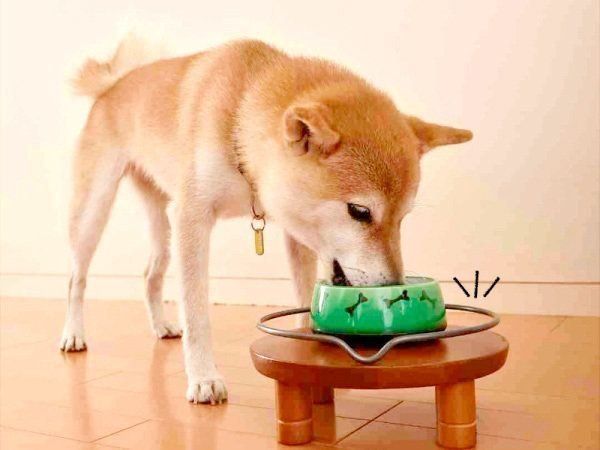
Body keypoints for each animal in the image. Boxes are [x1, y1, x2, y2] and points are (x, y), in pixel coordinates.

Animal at [61, 36, 472, 405]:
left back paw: (160, 325)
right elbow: (196, 313)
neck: (240, 117)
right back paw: (73, 334)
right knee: (76, 280)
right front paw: (203, 378)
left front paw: (315, 355)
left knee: (151, 274)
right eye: (360, 212)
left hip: (163, 222)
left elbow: (305, 296)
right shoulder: (193, 219)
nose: (394, 285)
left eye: (403, 217)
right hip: (96, 211)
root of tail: (113, 84)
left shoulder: (294, 228)